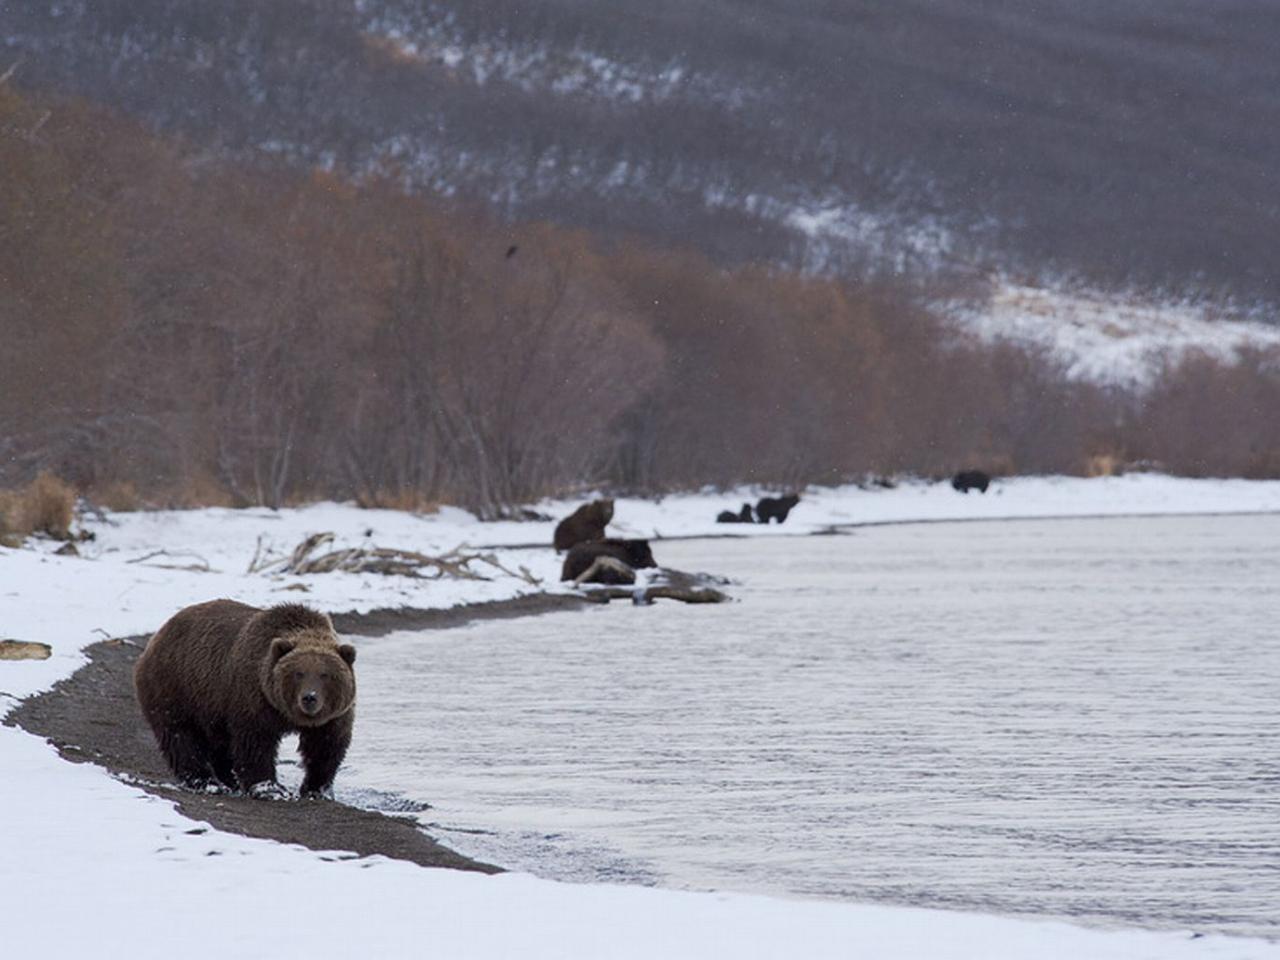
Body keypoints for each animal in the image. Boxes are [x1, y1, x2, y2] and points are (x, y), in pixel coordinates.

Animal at [133, 601, 355, 798]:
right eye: (298, 673)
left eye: (325, 674)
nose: (309, 698)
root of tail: (157, 636)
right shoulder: (254, 697)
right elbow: (255, 743)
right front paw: (269, 789)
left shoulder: (332, 716)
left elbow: (326, 747)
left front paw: (317, 790)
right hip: (175, 688)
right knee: (181, 737)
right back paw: (207, 783)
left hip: (210, 704)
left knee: (218, 745)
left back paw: (228, 781)